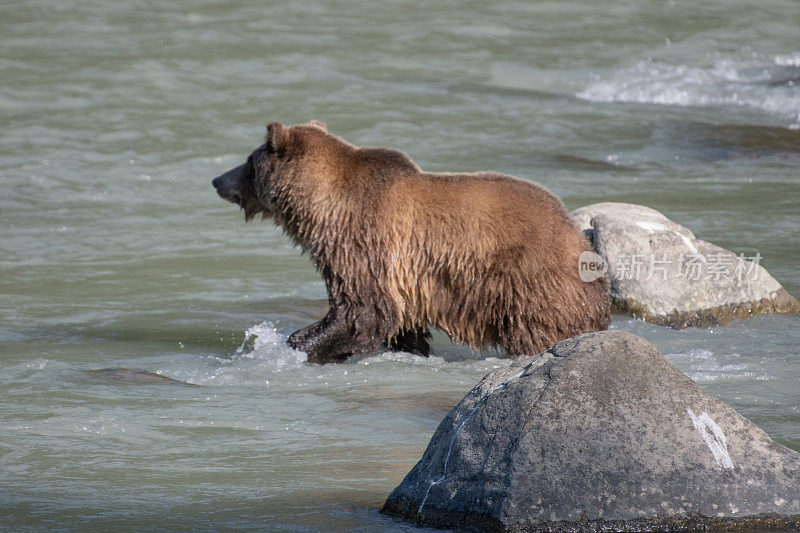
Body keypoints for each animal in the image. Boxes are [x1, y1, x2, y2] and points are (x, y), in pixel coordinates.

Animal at [209, 120, 608, 362]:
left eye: (248, 161)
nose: (217, 179)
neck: (324, 207)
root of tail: (577, 236)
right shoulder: (405, 276)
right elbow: (398, 319)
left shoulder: (361, 241)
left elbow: (361, 310)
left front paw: (296, 344)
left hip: (528, 280)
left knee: (538, 328)